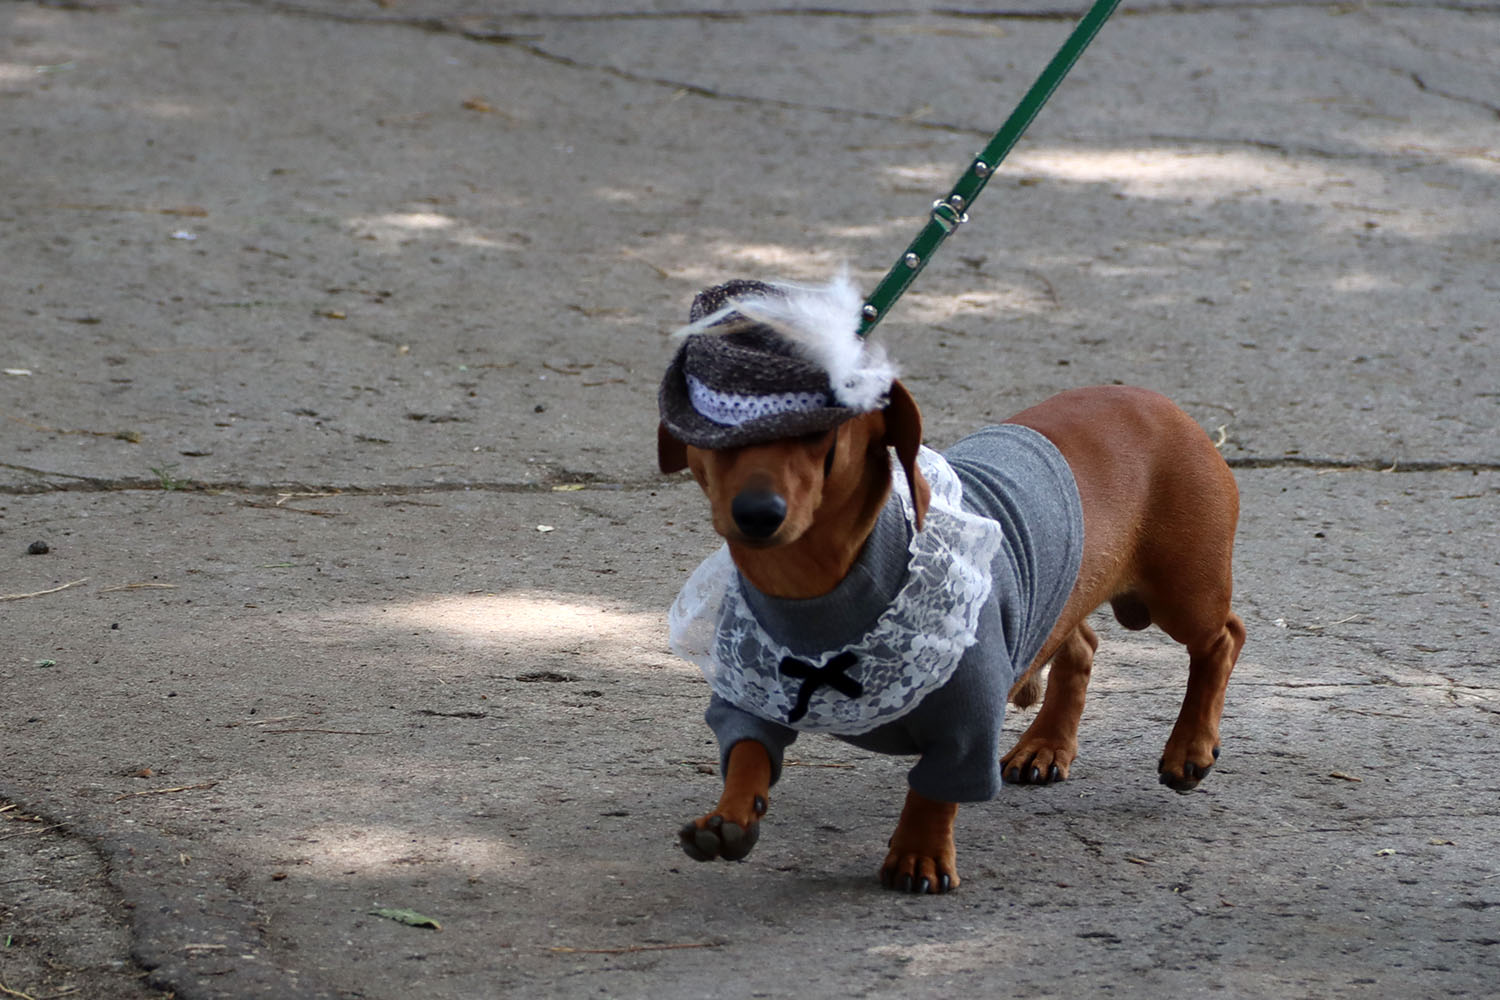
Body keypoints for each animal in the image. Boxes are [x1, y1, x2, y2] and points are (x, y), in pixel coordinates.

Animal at [658, 279, 1245, 894]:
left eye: (822, 433)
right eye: (718, 434)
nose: (756, 514)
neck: (820, 592)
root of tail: (1161, 404)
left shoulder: (968, 720)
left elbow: (934, 789)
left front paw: (919, 855)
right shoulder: (752, 692)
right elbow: (748, 750)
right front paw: (729, 816)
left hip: (1182, 592)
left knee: (1222, 639)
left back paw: (1189, 746)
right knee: (1083, 646)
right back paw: (1046, 746)